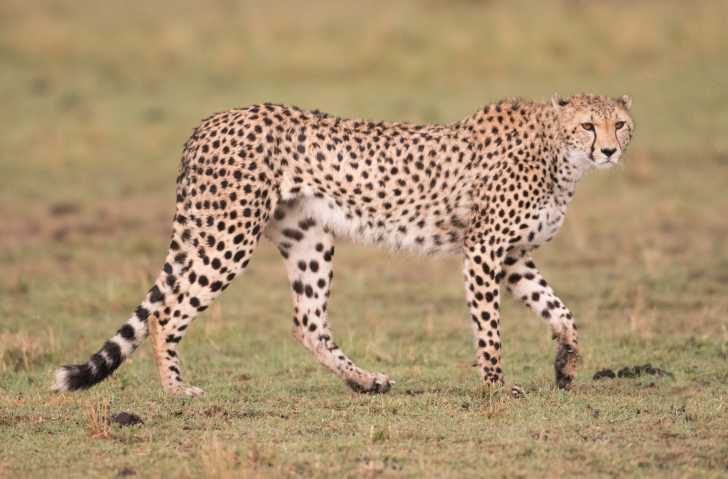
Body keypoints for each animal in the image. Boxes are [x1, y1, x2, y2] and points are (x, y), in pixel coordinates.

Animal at [52, 94, 632, 398]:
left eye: (620, 124)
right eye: (588, 124)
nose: (608, 150)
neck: (558, 154)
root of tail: (210, 120)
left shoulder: (511, 258)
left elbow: (562, 312)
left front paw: (566, 366)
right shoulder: (484, 252)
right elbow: (489, 330)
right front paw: (495, 387)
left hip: (307, 238)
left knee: (306, 322)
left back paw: (364, 381)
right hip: (228, 235)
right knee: (166, 313)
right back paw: (176, 391)